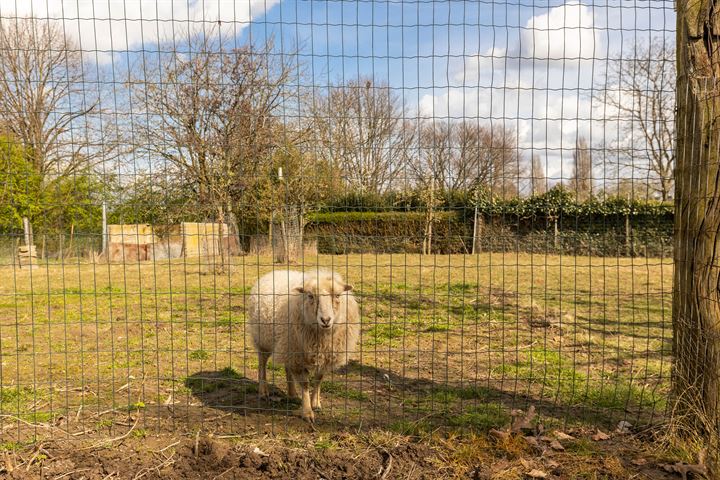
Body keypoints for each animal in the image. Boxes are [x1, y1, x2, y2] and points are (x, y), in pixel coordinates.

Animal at [246, 270, 360, 424]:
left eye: (337, 295)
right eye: (310, 296)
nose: (325, 320)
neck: (321, 336)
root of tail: (275, 271)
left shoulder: (324, 355)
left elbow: (319, 378)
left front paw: (315, 403)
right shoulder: (298, 354)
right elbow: (305, 384)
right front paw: (307, 412)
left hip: (288, 346)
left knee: (287, 367)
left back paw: (292, 393)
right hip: (264, 339)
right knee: (262, 364)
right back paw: (263, 390)